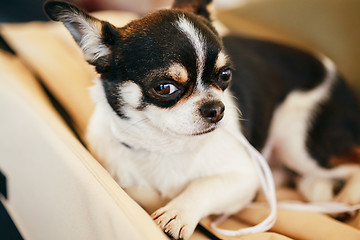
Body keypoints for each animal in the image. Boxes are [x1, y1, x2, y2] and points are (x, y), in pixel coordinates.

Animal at [43, 0, 360, 239]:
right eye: (164, 88)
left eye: (225, 75)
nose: (216, 108)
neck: (167, 146)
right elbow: (141, 192)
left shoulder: (245, 176)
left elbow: (204, 185)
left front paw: (179, 212)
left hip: (299, 144)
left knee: (350, 162)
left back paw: (346, 199)